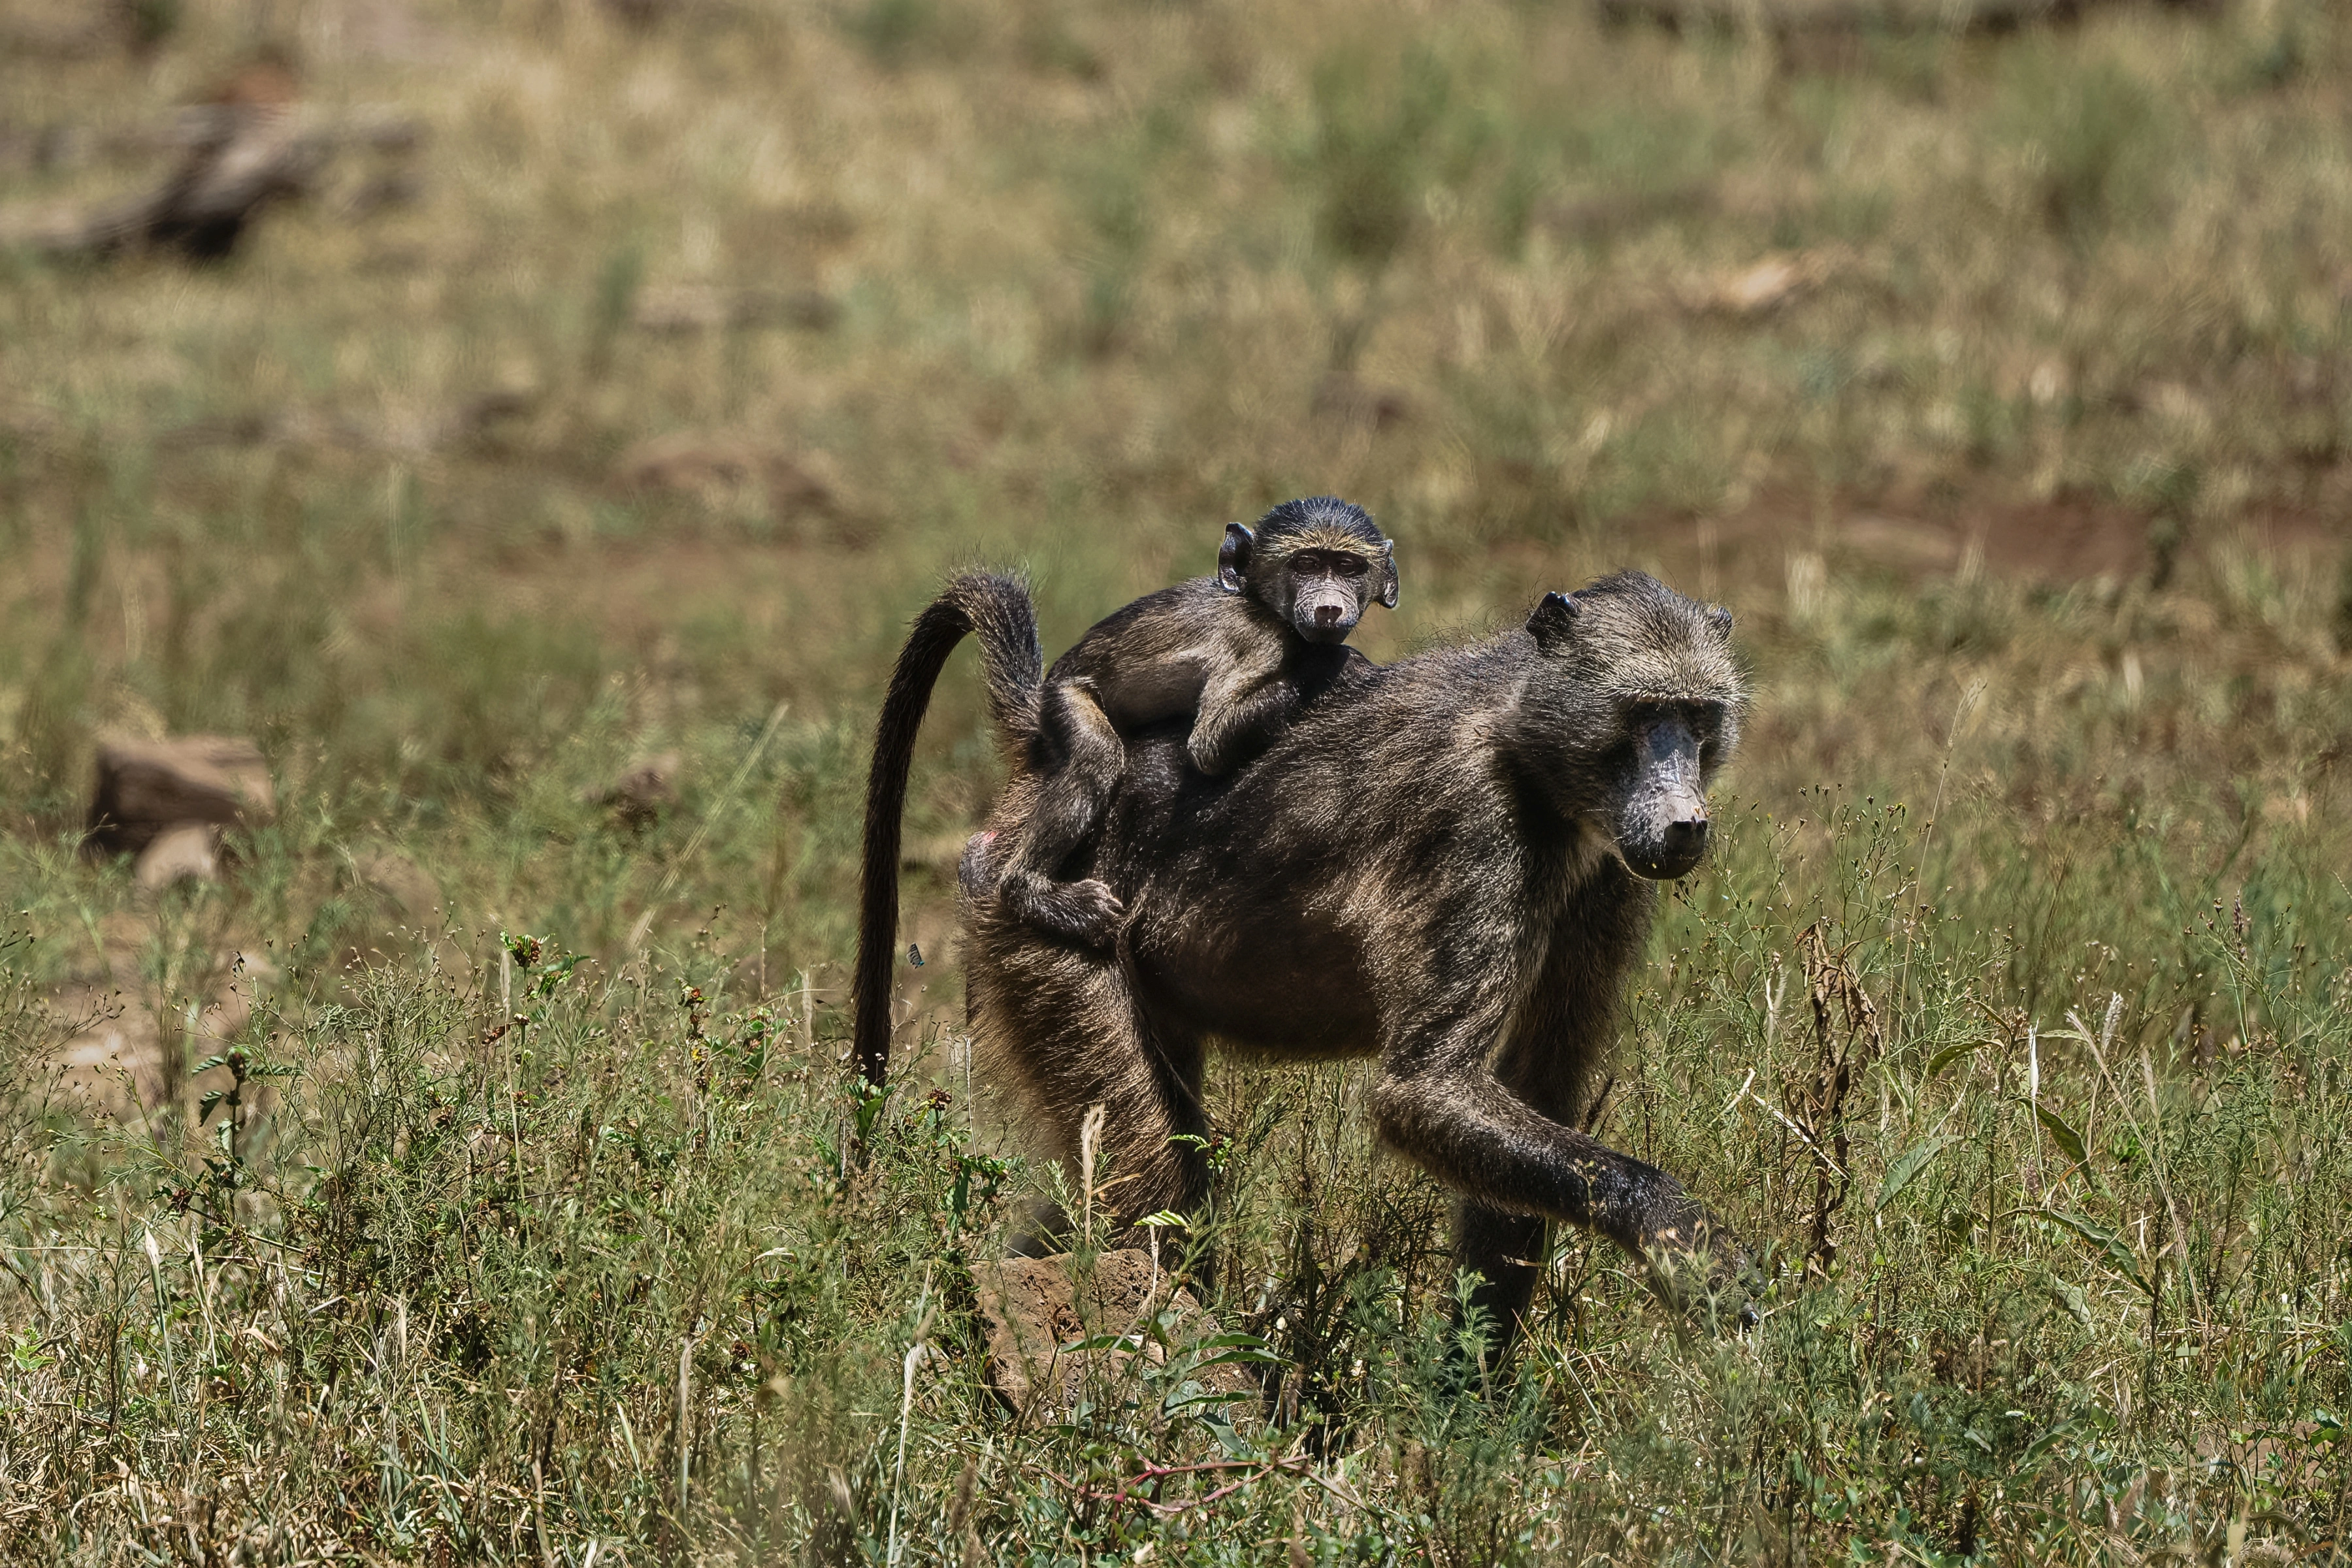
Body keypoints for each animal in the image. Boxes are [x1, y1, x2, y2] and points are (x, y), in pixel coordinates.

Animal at [851, 566, 1748, 1342]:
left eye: (1699, 720)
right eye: (1643, 715)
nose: (1684, 827)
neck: (1526, 746)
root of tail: (1043, 757)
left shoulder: (1610, 874)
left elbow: (1536, 1094)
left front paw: (1472, 1408)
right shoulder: (1476, 819)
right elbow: (1425, 1089)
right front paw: (1686, 1241)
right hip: (1049, 931)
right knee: (1155, 1191)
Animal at [988, 497, 1398, 950]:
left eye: (1348, 567)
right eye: (1306, 564)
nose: (1329, 607)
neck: (1261, 604)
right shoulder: (1258, 642)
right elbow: (1209, 745)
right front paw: (1339, 663)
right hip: (1066, 695)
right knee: (1098, 756)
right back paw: (1029, 889)